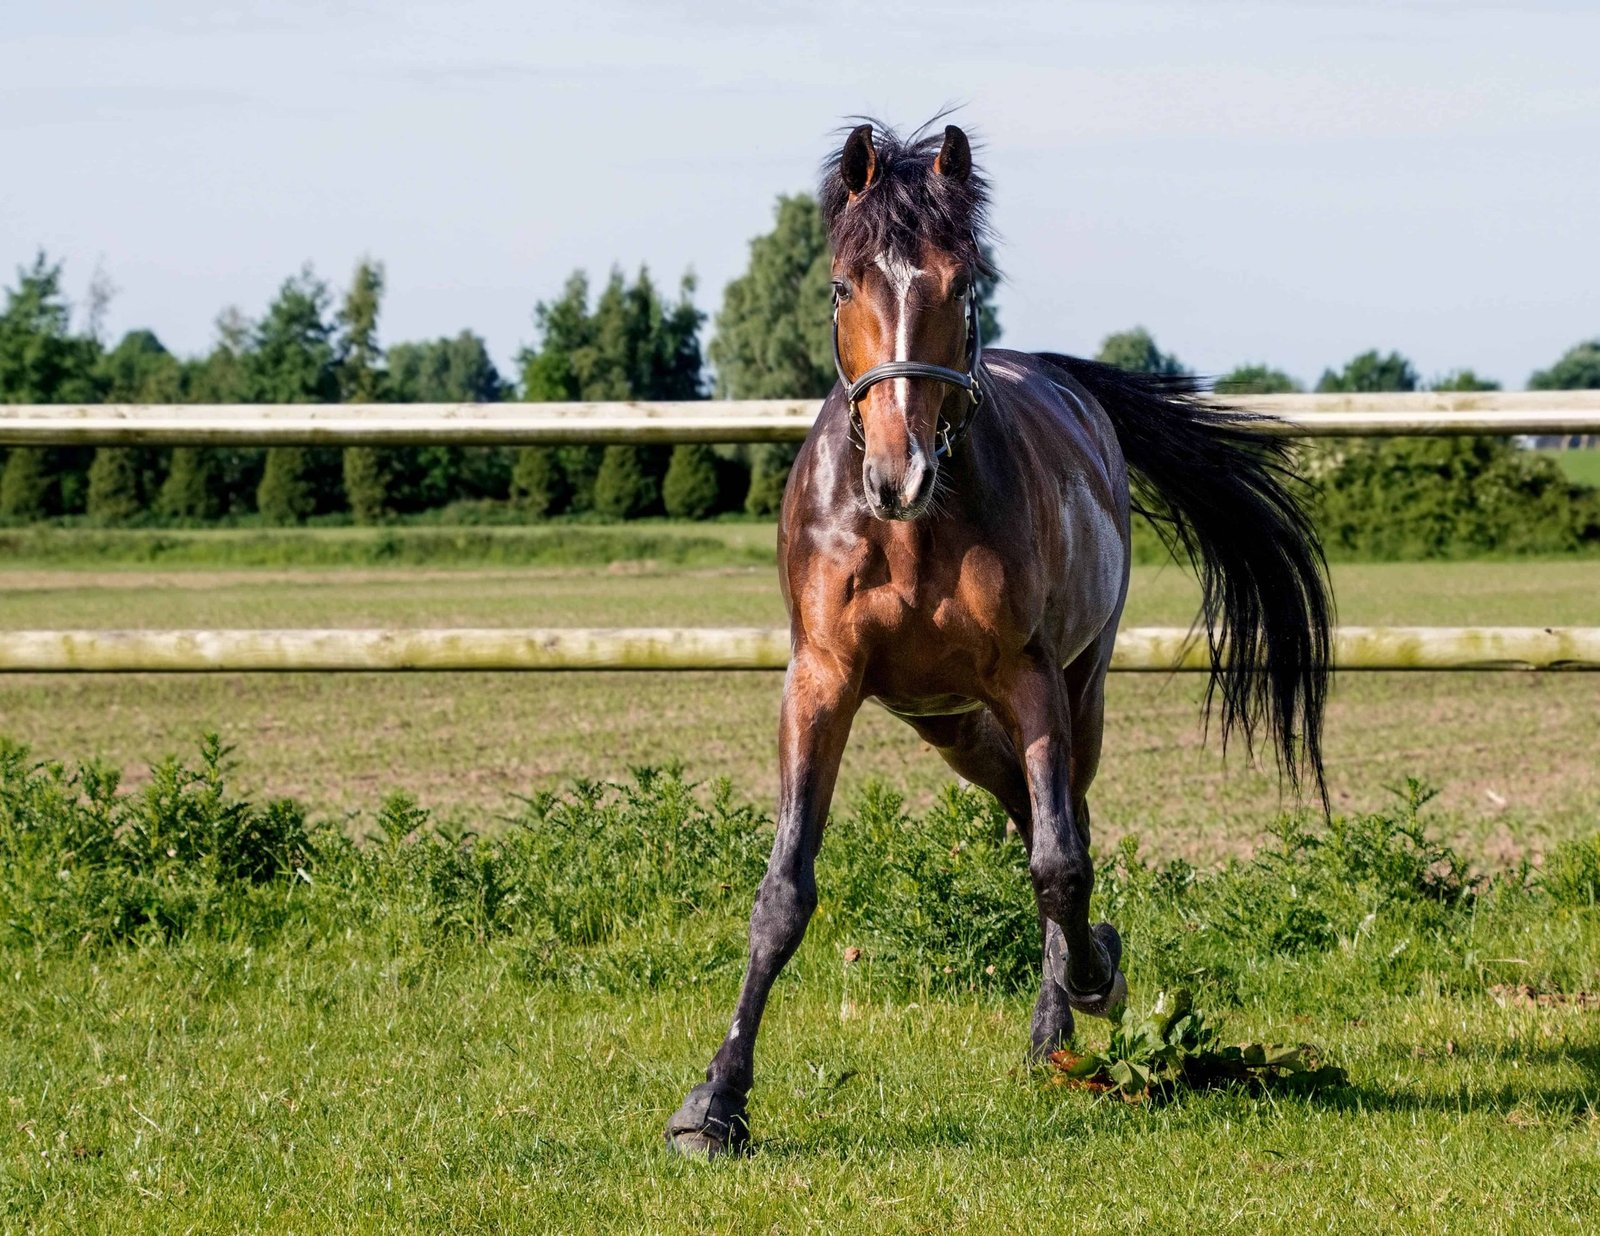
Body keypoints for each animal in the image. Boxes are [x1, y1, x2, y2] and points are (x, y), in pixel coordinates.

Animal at [666, 120, 1333, 1157]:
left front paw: (1094, 981)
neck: (910, 532)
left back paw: (1068, 1009)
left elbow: (1060, 864)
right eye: (843, 285)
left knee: (1062, 825)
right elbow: (783, 894)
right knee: (1024, 804)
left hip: (1076, 690)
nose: (899, 473)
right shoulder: (821, 681)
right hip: (944, 721)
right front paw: (715, 1103)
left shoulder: (1031, 679)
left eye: (961, 282)